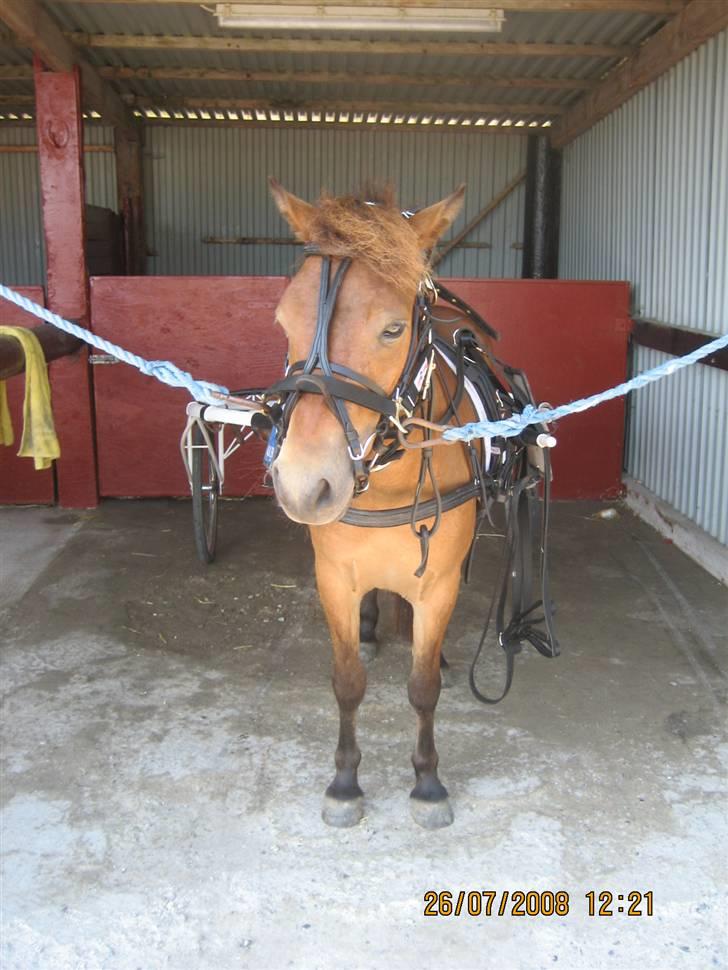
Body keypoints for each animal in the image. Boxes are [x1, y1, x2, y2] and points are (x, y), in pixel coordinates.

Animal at [268, 180, 484, 824]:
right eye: (283, 320)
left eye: (392, 330)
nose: (303, 484)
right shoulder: (334, 577)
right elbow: (347, 681)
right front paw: (344, 781)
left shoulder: (438, 582)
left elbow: (422, 688)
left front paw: (428, 781)